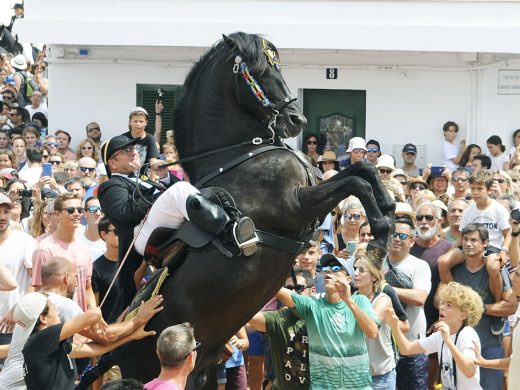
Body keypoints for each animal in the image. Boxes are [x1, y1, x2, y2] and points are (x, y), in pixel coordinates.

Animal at [115, 32, 394, 386]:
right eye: (260, 70)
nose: (296, 120)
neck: (239, 155)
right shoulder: (295, 206)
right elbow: (358, 183)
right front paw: (378, 241)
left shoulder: (311, 203)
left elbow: (363, 172)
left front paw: (388, 212)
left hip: (200, 368)